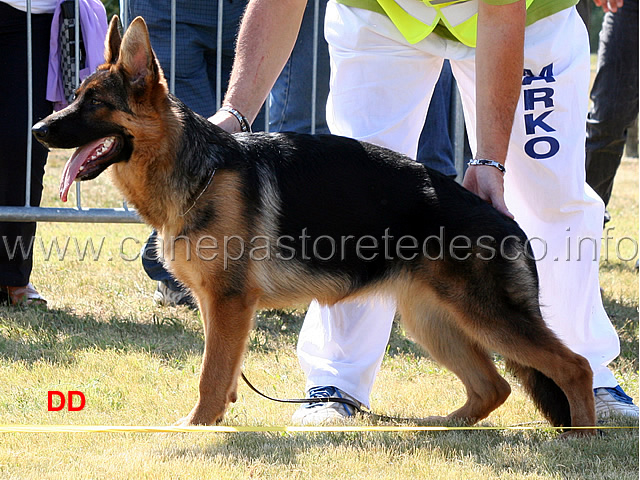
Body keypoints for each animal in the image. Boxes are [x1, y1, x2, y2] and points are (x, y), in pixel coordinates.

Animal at [33, 16, 596, 434]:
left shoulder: (230, 302)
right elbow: (223, 370)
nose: (38, 129)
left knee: (575, 366)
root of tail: (506, 221)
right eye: (76, 96)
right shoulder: (217, 307)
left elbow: (210, 375)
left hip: (486, 317)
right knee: (493, 387)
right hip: (434, 322)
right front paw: (217, 419)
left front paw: (195, 428)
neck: (195, 169)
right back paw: (438, 426)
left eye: (94, 103)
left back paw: (587, 436)